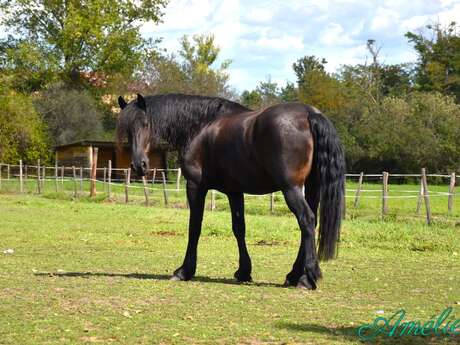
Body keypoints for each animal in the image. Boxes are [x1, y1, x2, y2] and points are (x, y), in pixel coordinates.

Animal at [117, 92, 344, 288]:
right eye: (127, 129)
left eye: (146, 124)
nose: (139, 165)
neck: (201, 126)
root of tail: (309, 114)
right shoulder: (235, 191)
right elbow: (239, 229)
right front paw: (244, 271)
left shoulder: (195, 187)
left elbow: (195, 227)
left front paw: (184, 271)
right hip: (311, 187)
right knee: (311, 222)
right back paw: (294, 274)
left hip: (291, 189)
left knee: (306, 220)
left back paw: (307, 278)